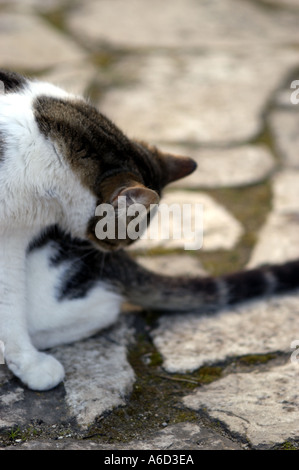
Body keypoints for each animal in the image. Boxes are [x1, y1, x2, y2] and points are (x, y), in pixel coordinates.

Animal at [0, 70, 299, 392]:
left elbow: (10, 301)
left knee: (101, 308)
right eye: (122, 236)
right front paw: (30, 362)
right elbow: (11, 305)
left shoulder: (11, 239)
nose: (113, 250)